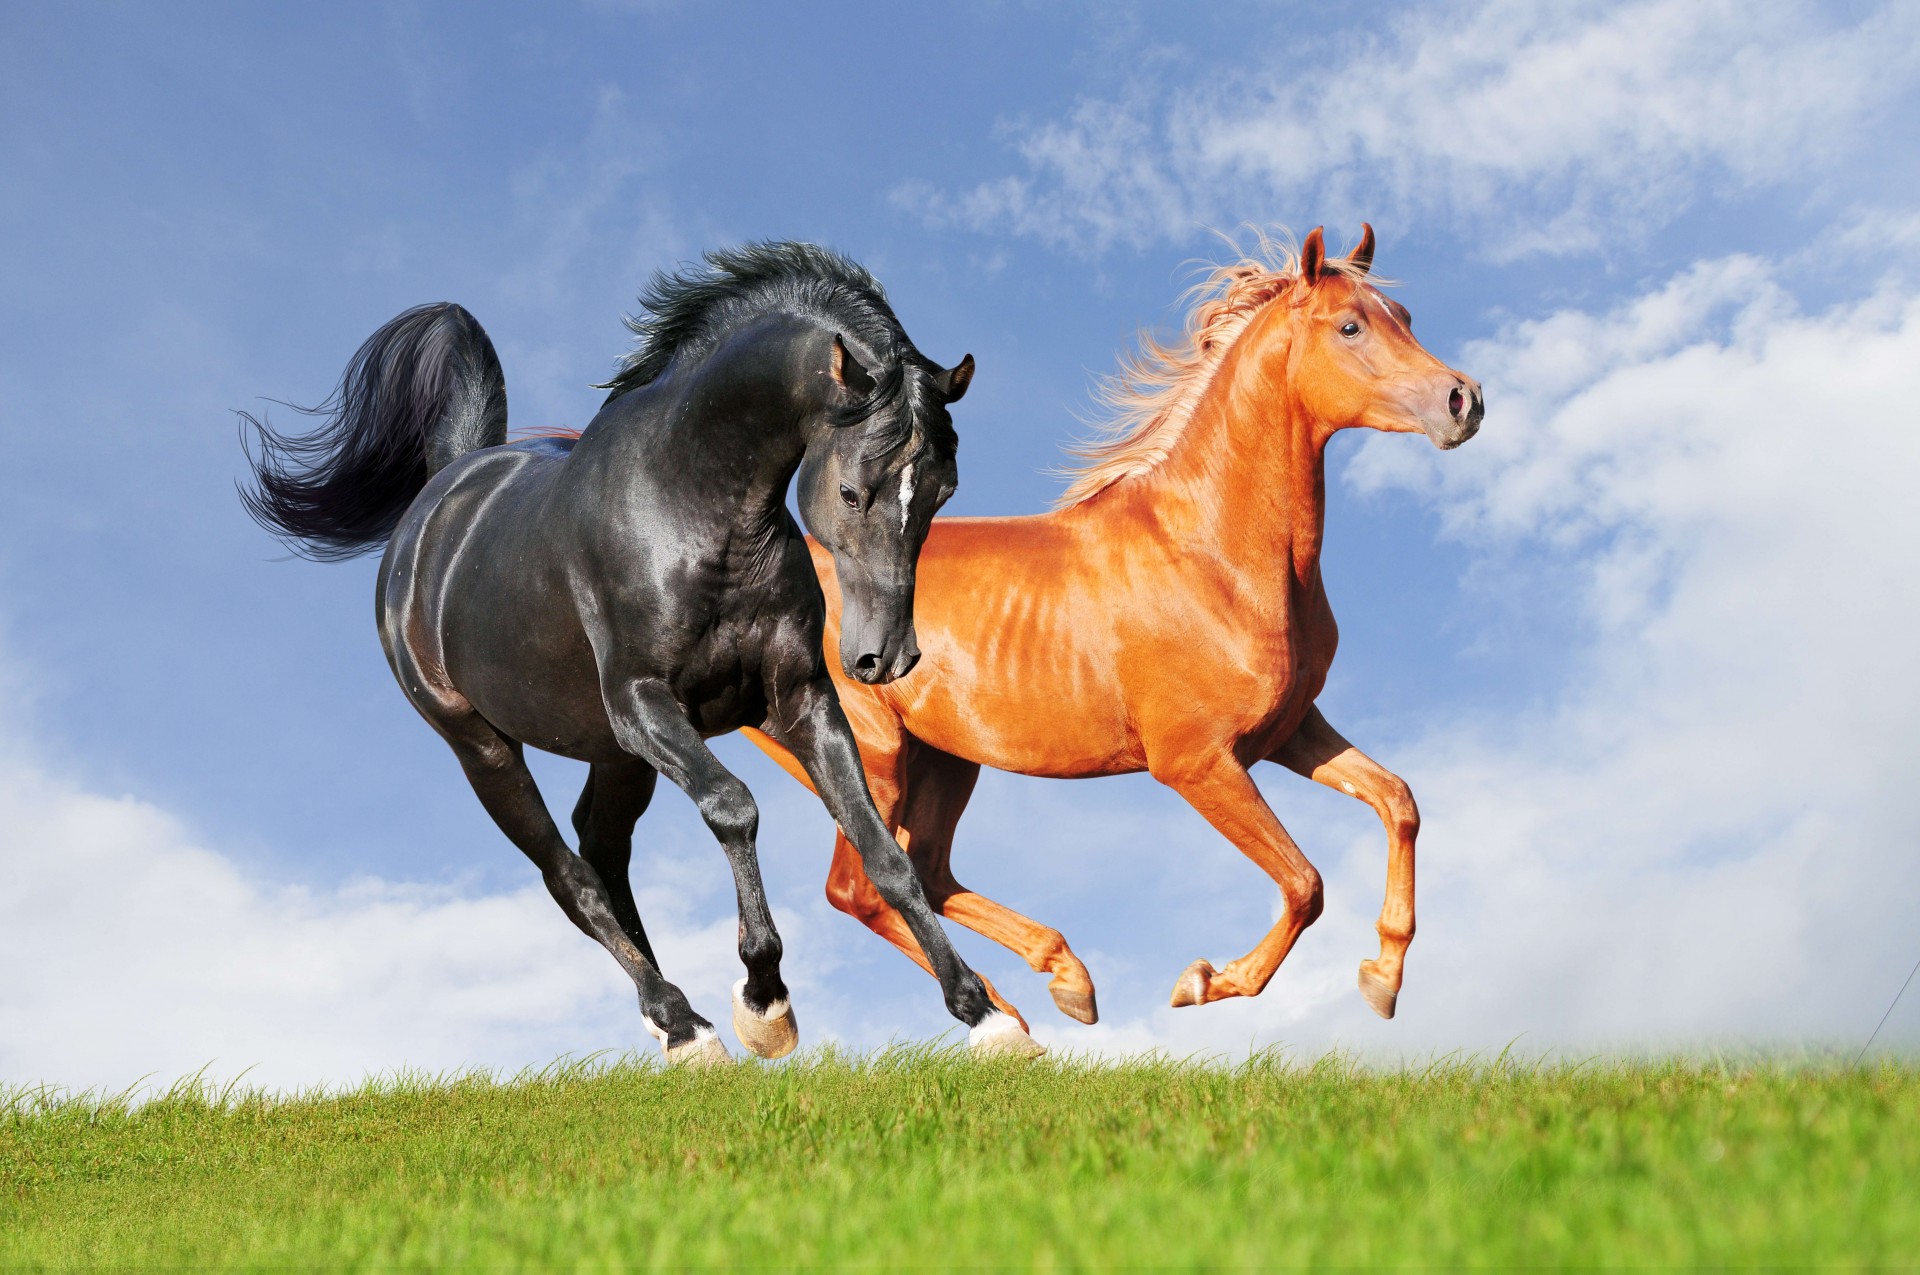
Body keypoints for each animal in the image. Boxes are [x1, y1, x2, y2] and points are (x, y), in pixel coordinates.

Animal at [241, 242, 1045, 1063]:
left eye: (944, 490)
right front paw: (764, 1002)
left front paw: (986, 1014)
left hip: (613, 752)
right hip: (485, 748)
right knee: (570, 876)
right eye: (853, 491)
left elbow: (883, 849)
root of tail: (439, 500)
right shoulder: (644, 704)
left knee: (601, 849)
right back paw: (684, 1023)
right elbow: (734, 807)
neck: (692, 510)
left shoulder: (800, 700)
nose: (885, 658)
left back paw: (673, 1022)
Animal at [744, 226, 1483, 1031]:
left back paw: (1060, 983)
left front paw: (1383, 976)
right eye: (1350, 326)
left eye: (1403, 315)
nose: (1464, 400)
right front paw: (1205, 980)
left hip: (944, 759)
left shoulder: (1288, 730)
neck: (1211, 554)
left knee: (927, 870)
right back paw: (1004, 1016)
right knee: (865, 886)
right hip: (870, 756)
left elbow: (1398, 800)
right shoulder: (1196, 763)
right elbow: (1304, 882)